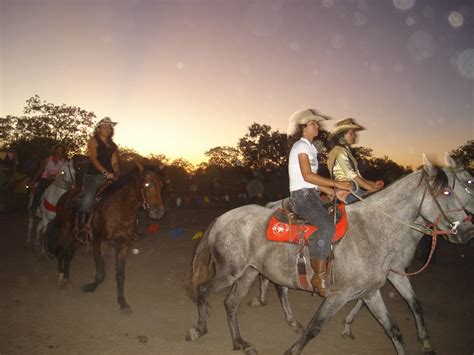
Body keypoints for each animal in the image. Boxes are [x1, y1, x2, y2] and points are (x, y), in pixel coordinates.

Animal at [48, 163, 166, 312]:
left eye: (161, 185)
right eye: (146, 184)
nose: (158, 212)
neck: (119, 210)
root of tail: (65, 195)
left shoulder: (124, 245)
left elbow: (120, 275)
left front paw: (122, 302)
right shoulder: (100, 242)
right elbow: (101, 273)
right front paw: (90, 287)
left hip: (78, 236)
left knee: (69, 253)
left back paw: (67, 279)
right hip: (65, 229)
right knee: (61, 251)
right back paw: (60, 278)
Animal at [187, 156, 472, 355]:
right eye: (447, 191)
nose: (467, 231)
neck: (372, 230)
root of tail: (223, 217)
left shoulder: (371, 292)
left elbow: (395, 329)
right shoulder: (339, 295)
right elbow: (315, 328)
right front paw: (294, 348)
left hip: (248, 272)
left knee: (231, 303)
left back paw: (241, 342)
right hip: (229, 272)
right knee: (203, 291)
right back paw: (198, 330)